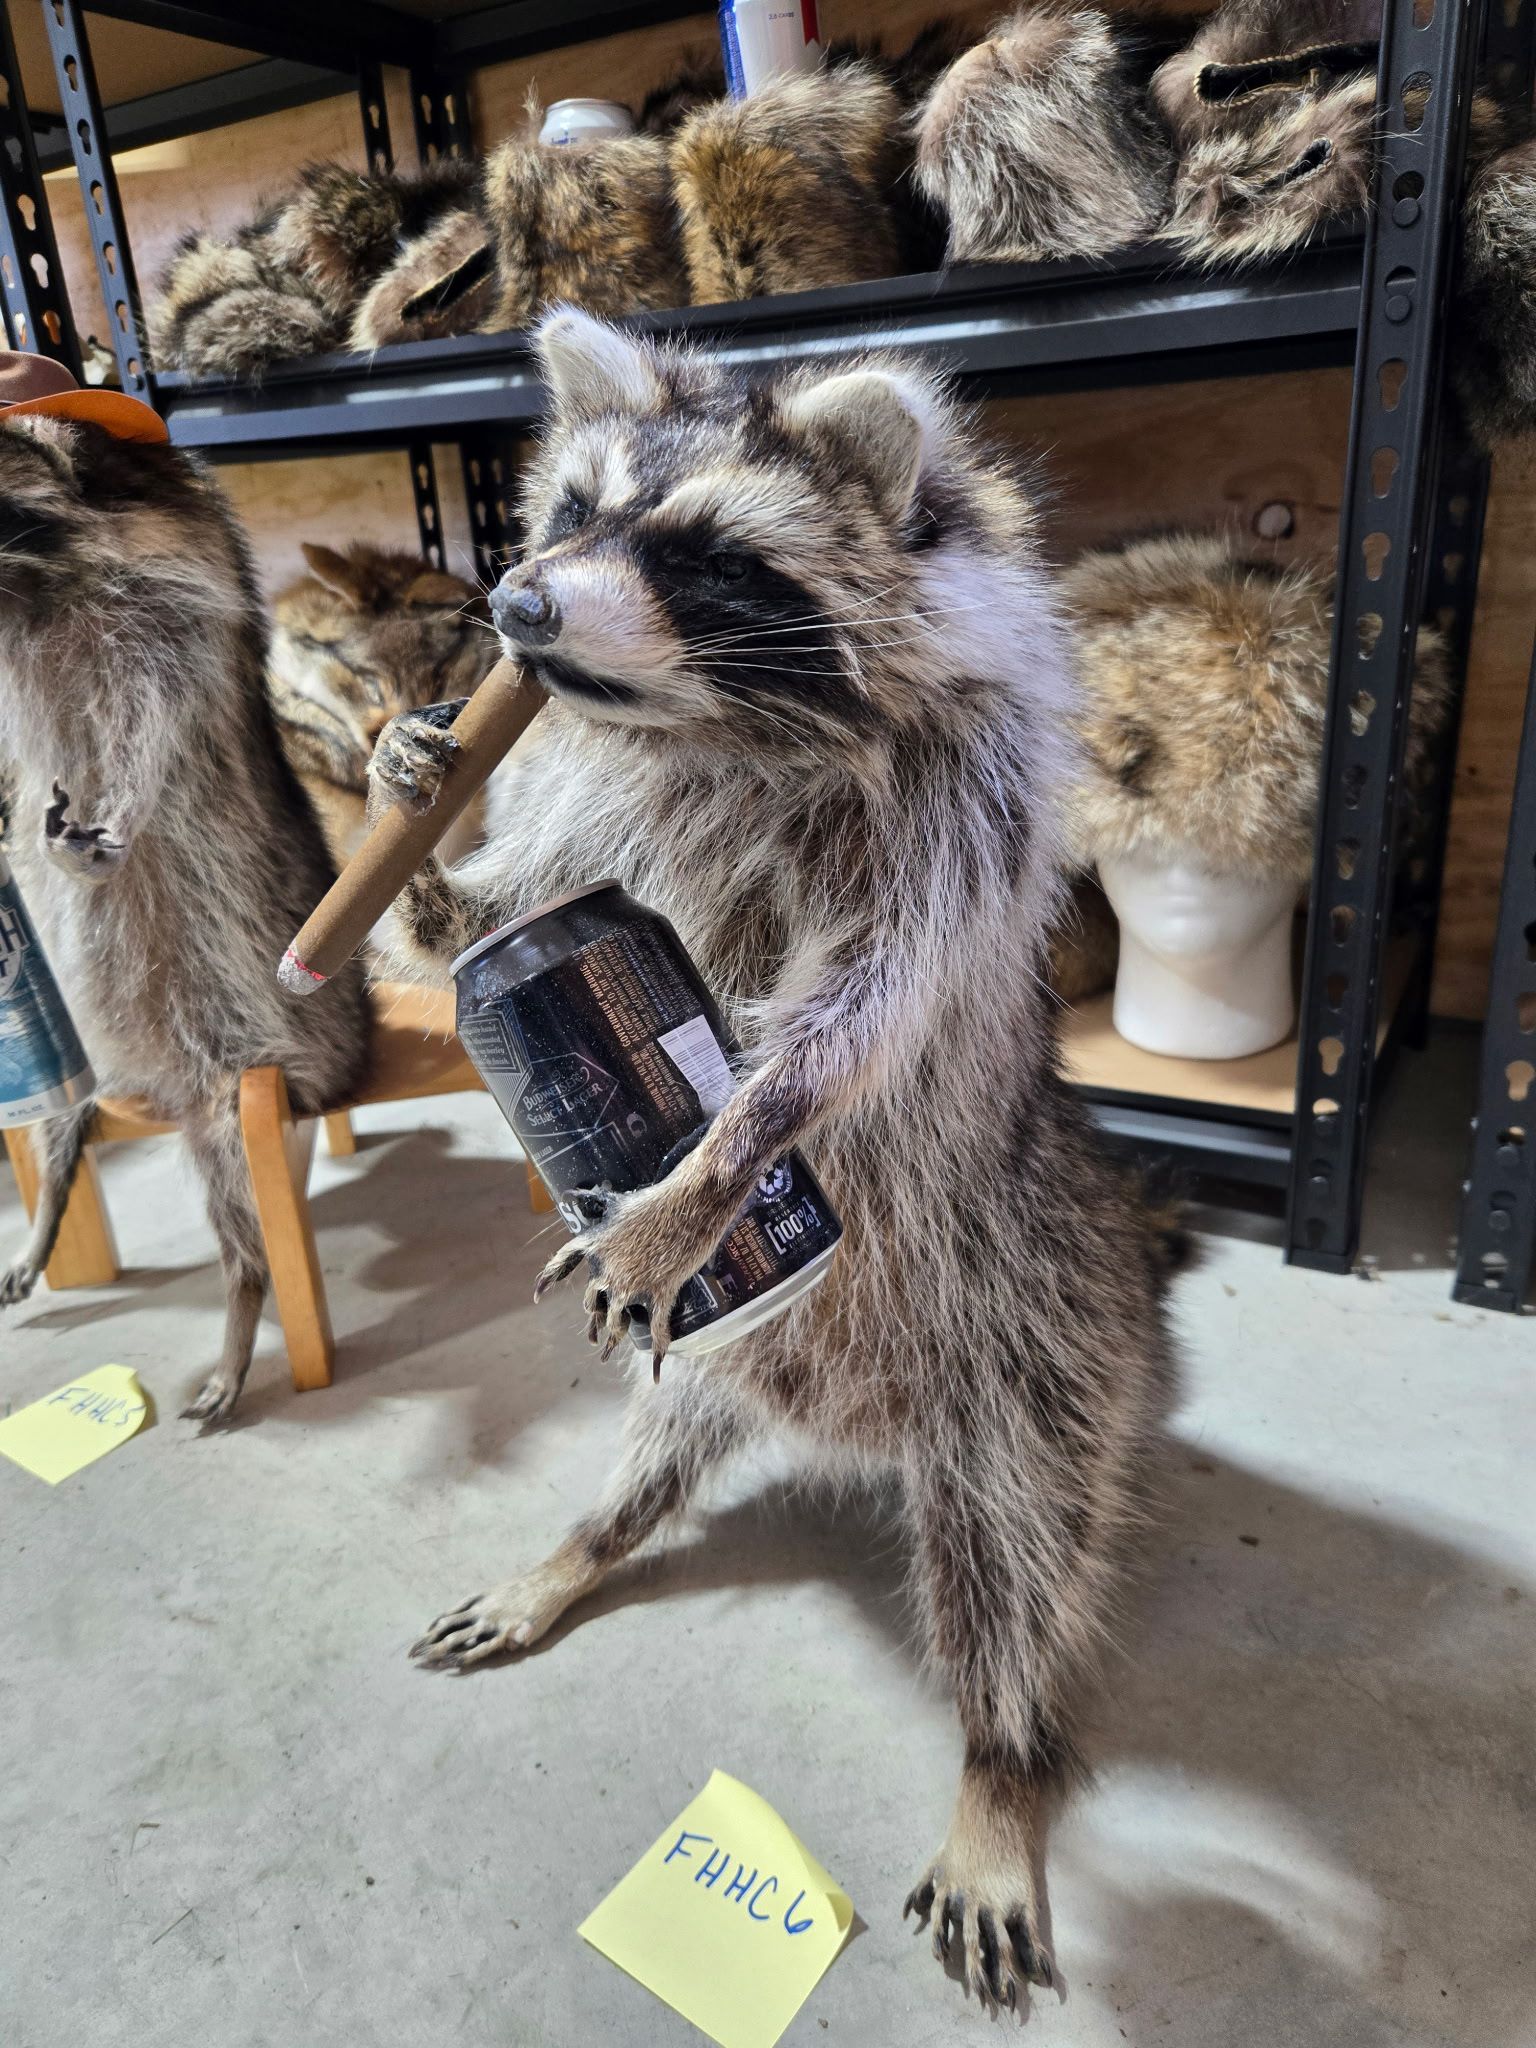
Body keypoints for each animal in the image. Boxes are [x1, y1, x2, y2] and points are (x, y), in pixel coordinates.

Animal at [0, 419, 369, 1420]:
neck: (26, 594)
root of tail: (150, 1079)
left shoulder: (171, 601)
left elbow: (149, 717)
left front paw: (116, 812)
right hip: (89, 1040)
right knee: (61, 1113)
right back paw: (47, 1198)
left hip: (247, 1036)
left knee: (237, 1187)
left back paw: (242, 1302)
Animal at [372, 309, 1183, 2004]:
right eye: (572, 513)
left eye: (703, 557)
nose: (515, 605)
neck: (714, 723)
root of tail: (855, 1417)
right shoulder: (582, 812)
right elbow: (491, 917)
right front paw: (408, 824)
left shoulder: (959, 810)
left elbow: (860, 1012)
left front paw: (717, 1157)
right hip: (724, 1363)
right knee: (653, 1443)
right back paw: (587, 1541)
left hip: (1031, 1328)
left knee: (1015, 1546)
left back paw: (1001, 1760)